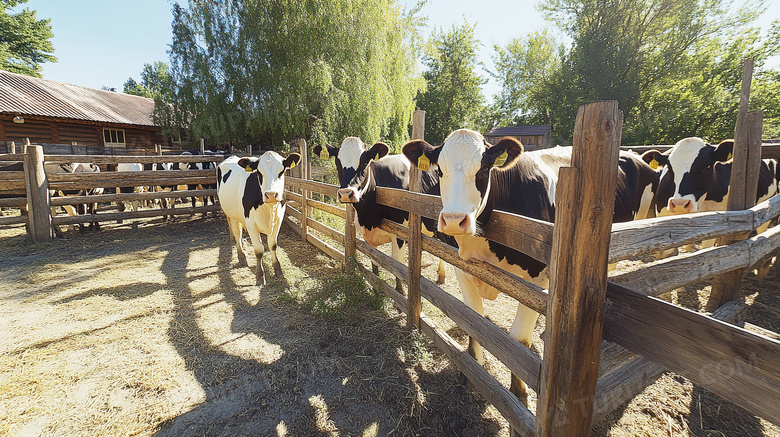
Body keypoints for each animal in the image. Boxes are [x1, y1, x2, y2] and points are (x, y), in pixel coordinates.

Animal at [216, 152, 302, 284]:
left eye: (282, 171)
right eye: (259, 173)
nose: (271, 195)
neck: (269, 209)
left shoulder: (279, 221)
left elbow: (272, 245)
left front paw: (277, 268)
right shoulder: (251, 224)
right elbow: (259, 250)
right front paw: (260, 276)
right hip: (231, 214)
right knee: (237, 234)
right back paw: (241, 257)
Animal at [312, 135, 448, 290]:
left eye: (365, 162)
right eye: (337, 161)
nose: (346, 194)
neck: (369, 217)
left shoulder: (401, 234)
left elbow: (397, 265)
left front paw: (400, 291)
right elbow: (375, 260)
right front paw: (376, 288)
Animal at [402, 129, 664, 406]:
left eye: (483, 169)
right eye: (440, 170)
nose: (454, 221)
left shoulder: (539, 281)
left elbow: (519, 338)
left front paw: (519, 392)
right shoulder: (462, 267)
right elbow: (472, 320)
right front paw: (470, 372)